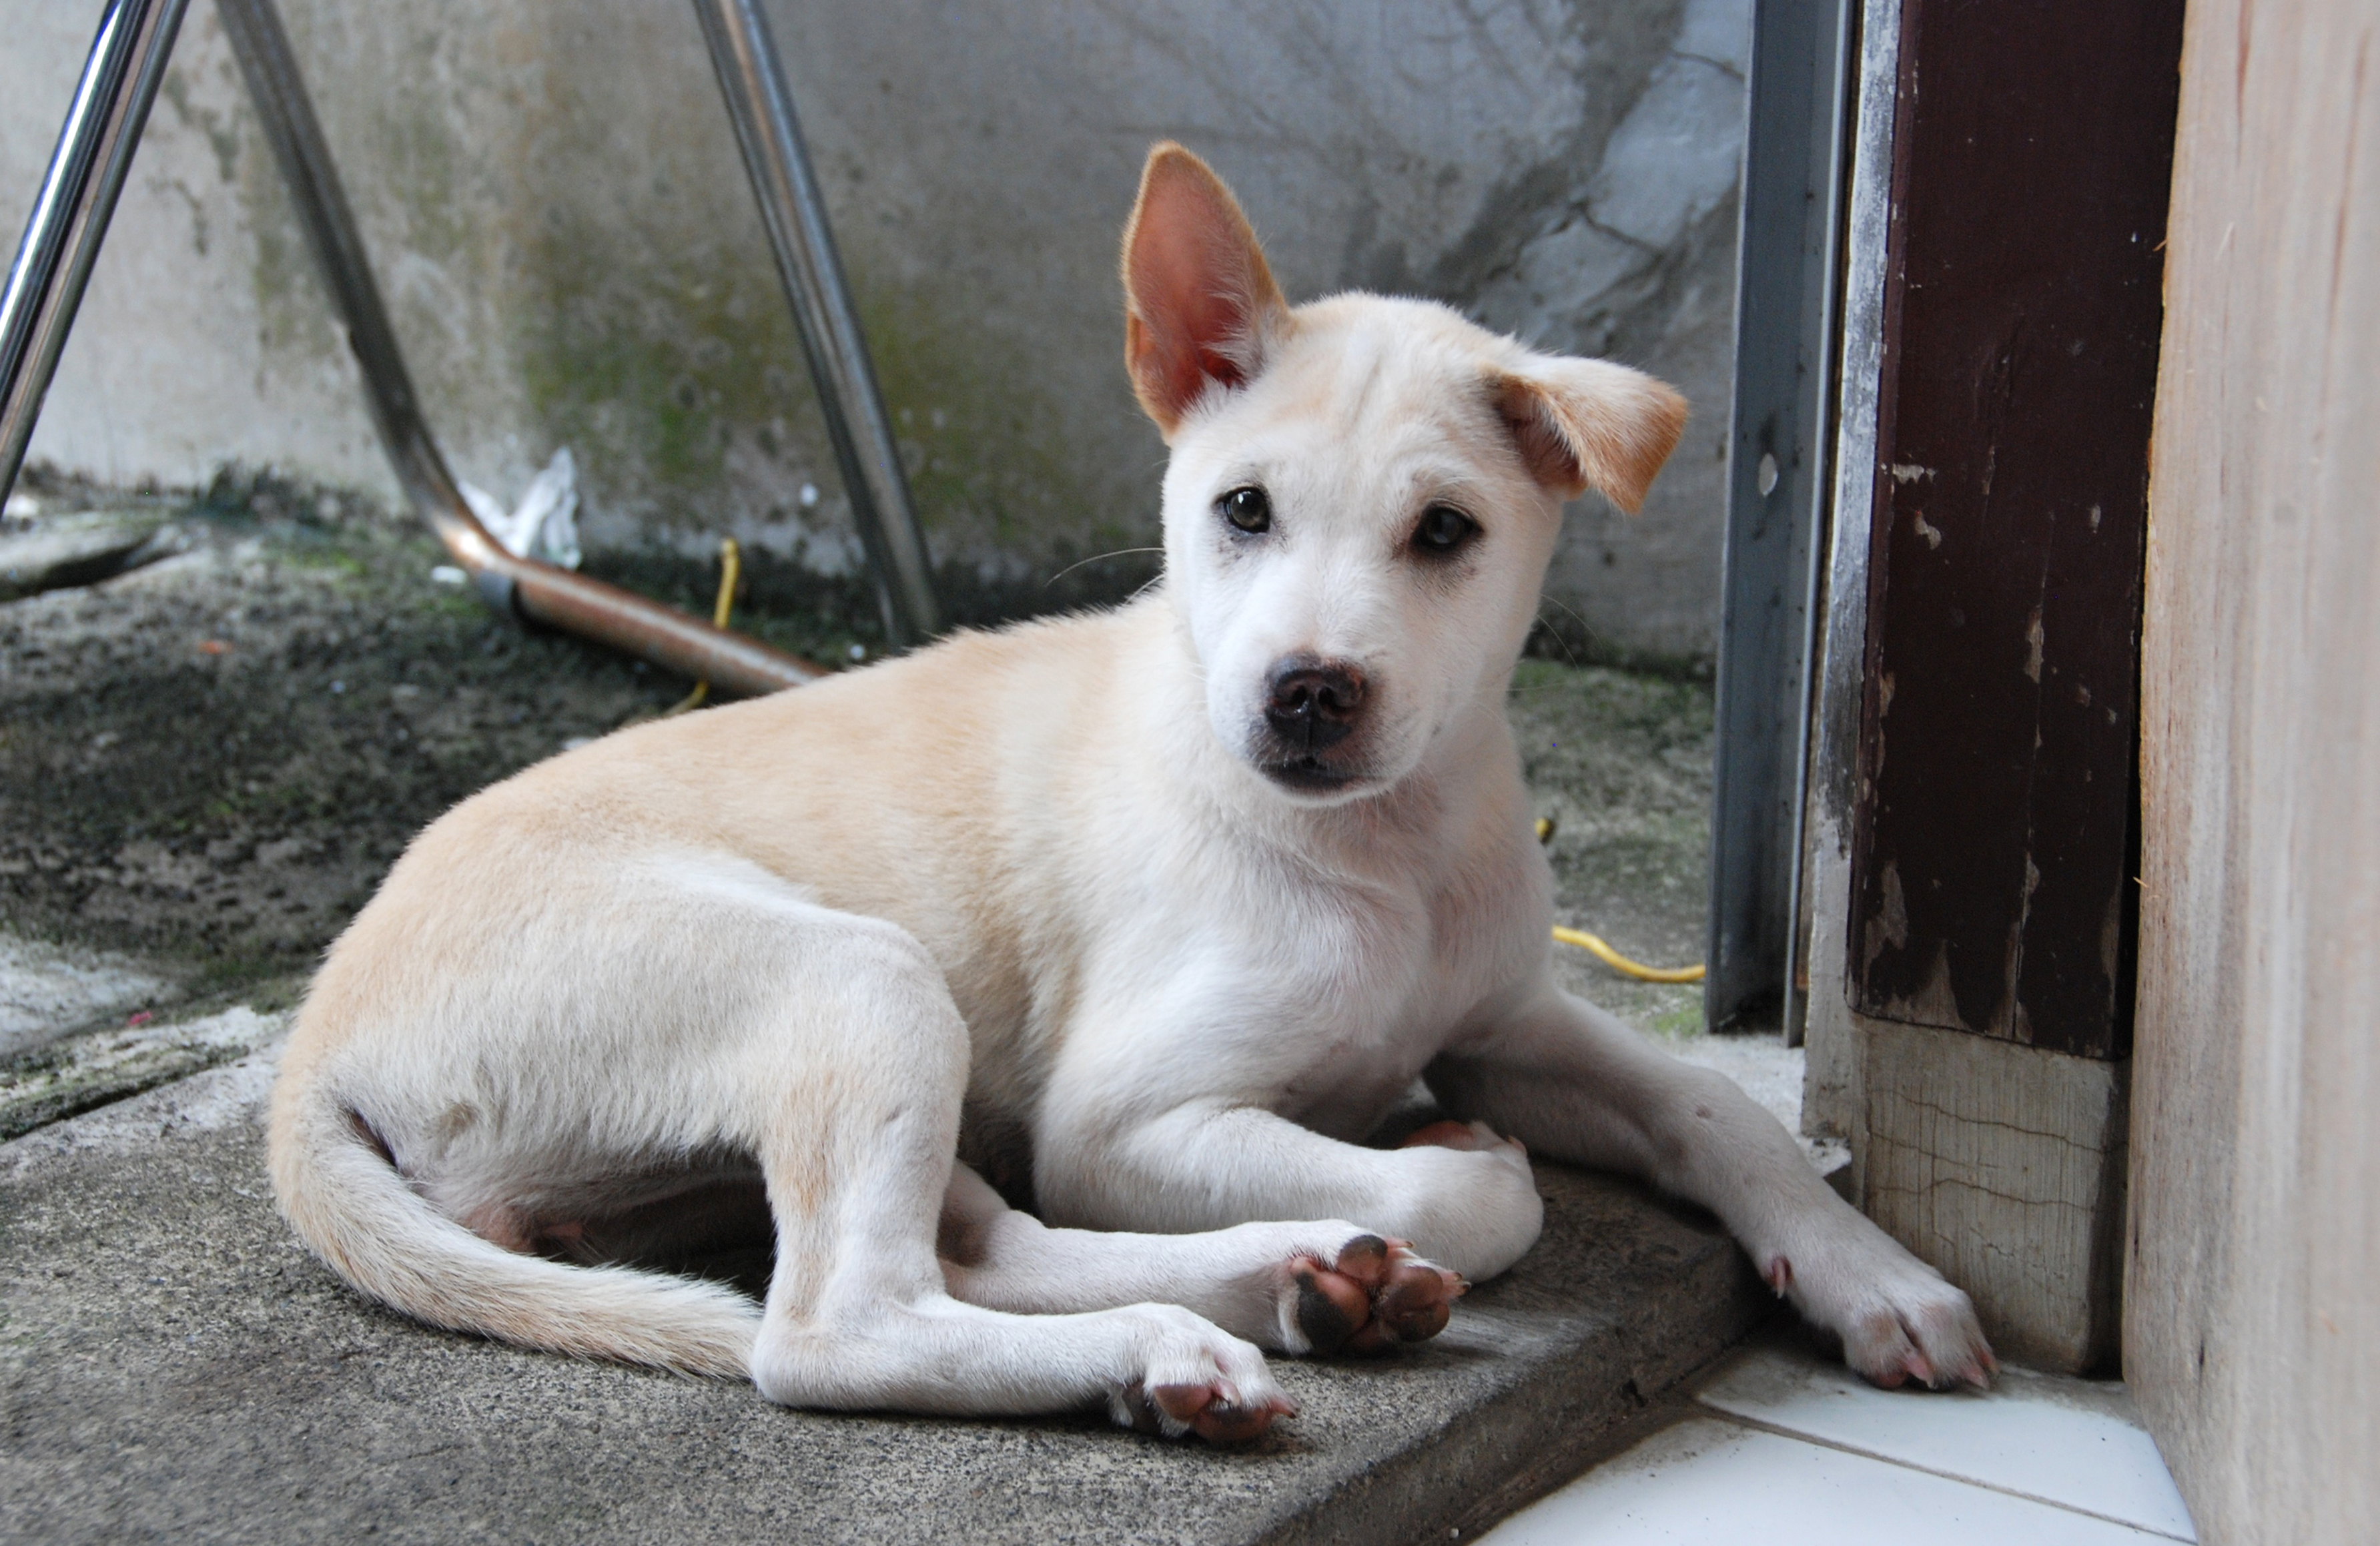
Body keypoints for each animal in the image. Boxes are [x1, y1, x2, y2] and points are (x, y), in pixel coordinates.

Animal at [270, 138, 1999, 1437]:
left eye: (1445, 532)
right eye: (1240, 509)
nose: (1305, 693)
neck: (1377, 845)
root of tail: (316, 1037)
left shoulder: (1509, 1016)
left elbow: (1716, 1109)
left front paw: (1873, 1277)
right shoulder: (1125, 1116)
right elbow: (1474, 1198)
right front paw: (1453, 1168)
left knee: (978, 1247)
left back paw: (1301, 1288)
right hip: (853, 980)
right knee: (839, 1323)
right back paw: (1194, 1328)